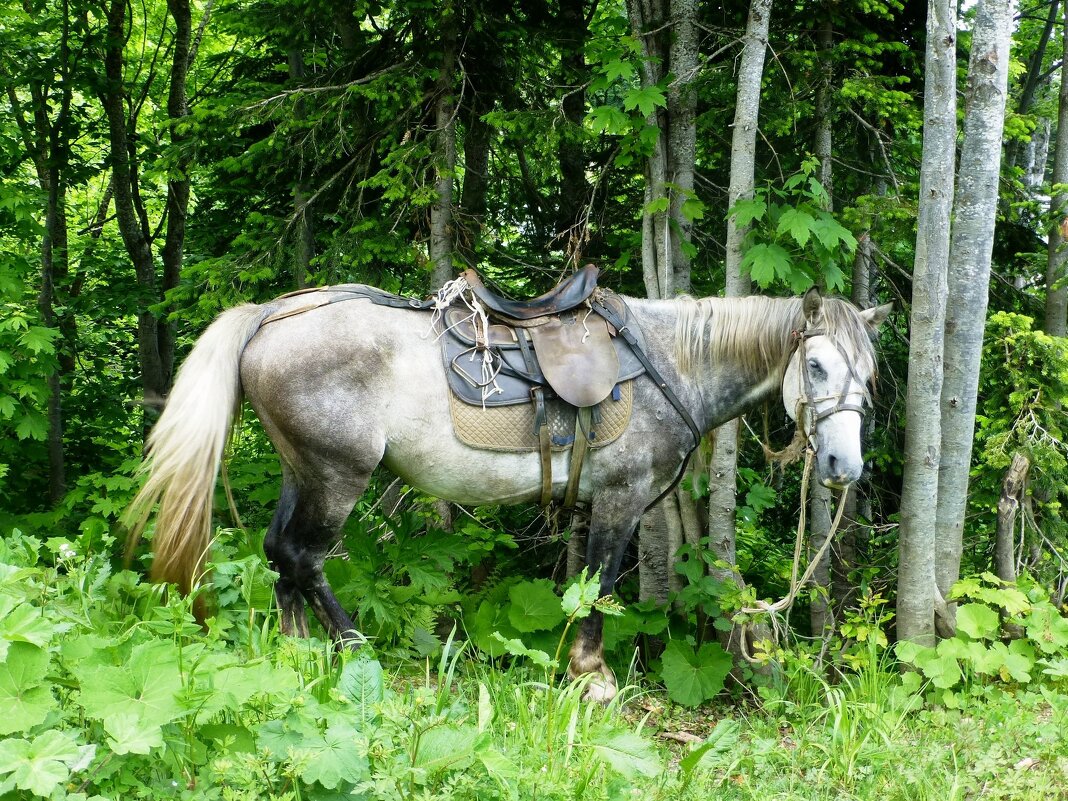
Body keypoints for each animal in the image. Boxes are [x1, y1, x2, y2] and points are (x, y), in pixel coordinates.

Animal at [124, 281, 892, 700]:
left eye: (869, 372)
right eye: (816, 366)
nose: (842, 466)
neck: (670, 362)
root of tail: (271, 314)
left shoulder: (593, 503)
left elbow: (583, 582)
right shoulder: (620, 499)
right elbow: (602, 585)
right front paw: (592, 674)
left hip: (302, 470)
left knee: (280, 553)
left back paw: (298, 655)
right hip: (337, 475)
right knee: (304, 558)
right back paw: (352, 647)